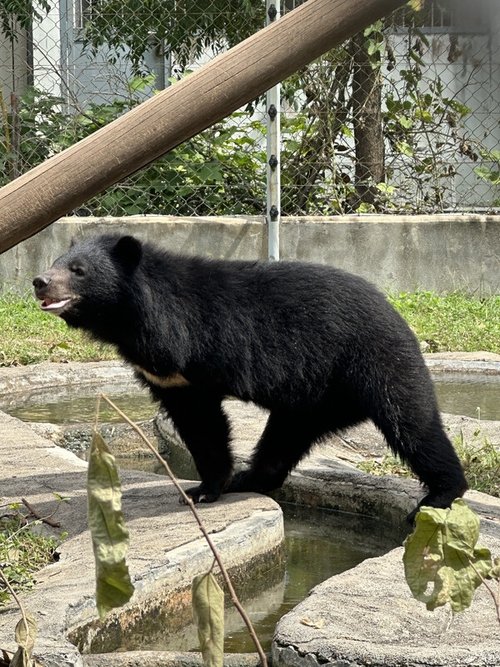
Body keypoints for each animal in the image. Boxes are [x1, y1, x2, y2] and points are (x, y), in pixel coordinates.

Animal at [33, 234, 467, 520]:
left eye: (78, 270)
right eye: (55, 261)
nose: (39, 281)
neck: (130, 319)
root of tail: (395, 312)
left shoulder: (190, 348)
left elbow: (205, 423)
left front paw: (203, 491)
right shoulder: (168, 375)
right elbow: (198, 426)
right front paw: (207, 488)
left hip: (374, 361)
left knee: (412, 424)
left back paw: (440, 495)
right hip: (310, 401)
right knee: (281, 444)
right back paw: (248, 478)